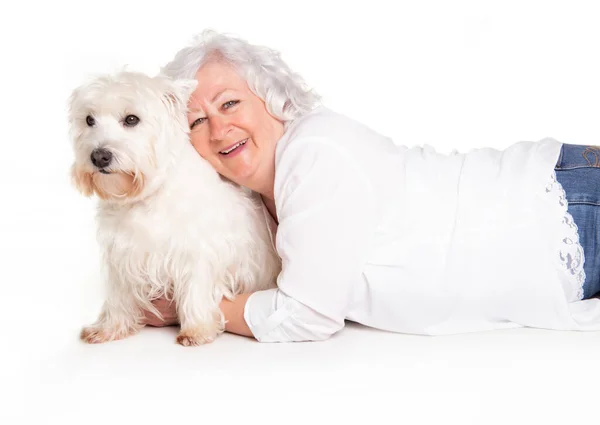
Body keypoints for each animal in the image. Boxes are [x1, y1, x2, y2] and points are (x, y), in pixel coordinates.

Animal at [67, 70, 282, 344]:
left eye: (131, 119)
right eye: (89, 120)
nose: (99, 157)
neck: (147, 196)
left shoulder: (197, 251)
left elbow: (195, 289)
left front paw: (196, 330)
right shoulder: (121, 255)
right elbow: (118, 296)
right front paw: (108, 328)